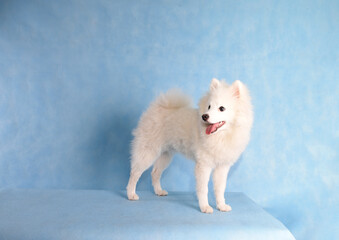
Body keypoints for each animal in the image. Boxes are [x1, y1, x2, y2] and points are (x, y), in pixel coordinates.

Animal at [126, 79, 254, 214]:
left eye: (222, 108)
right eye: (209, 106)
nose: (204, 116)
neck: (221, 136)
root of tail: (158, 107)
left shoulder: (222, 167)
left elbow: (220, 189)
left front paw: (221, 206)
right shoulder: (203, 165)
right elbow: (203, 189)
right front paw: (205, 207)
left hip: (165, 155)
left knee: (155, 173)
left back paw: (159, 191)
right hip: (148, 152)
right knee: (134, 173)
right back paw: (131, 194)